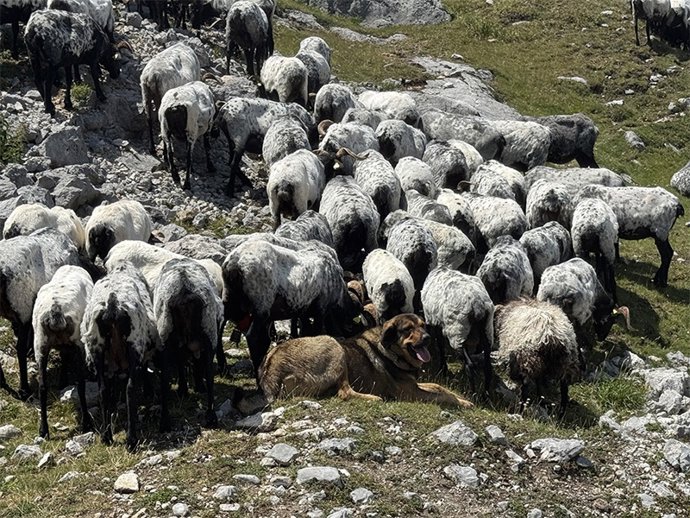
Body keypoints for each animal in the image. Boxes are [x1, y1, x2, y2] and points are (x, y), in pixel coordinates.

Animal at [32, 265, 94, 438]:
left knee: (42, 387)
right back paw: (86, 423)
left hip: (40, 343)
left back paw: (43, 430)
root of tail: (56, 310)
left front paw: (62, 381)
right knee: (80, 384)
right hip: (78, 342)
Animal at [81, 262, 161, 451]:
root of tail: (112, 303)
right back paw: (132, 440)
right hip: (134, 343)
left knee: (103, 390)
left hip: (96, 347)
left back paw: (106, 437)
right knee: (130, 389)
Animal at [153, 258, 223, 428]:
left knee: (166, 378)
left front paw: (185, 389)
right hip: (208, 330)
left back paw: (166, 421)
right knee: (208, 374)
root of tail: (184, 288)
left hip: (166, 333)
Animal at [222, 239, 362, 374]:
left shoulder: (304, 312)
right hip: (261, 305)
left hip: (229, 299)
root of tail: (235, 262)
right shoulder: (320, 310)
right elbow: (316, 332)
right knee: (252, 336)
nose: (350, 330)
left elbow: (304, 332)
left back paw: (225, 368)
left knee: (220, 327)